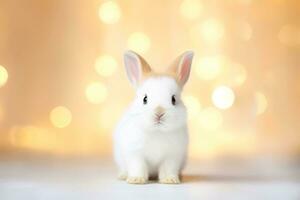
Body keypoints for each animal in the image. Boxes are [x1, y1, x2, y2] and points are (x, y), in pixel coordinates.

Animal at [113, 50, 195, 184]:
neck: (157, 131)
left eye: (173, 99)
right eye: (144, 99)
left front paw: (170, 180)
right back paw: (123, 176)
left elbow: (168, 169)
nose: (159, 113)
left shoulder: (172, 157)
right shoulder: (135, 154)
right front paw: (136, 180)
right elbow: (138, 167)